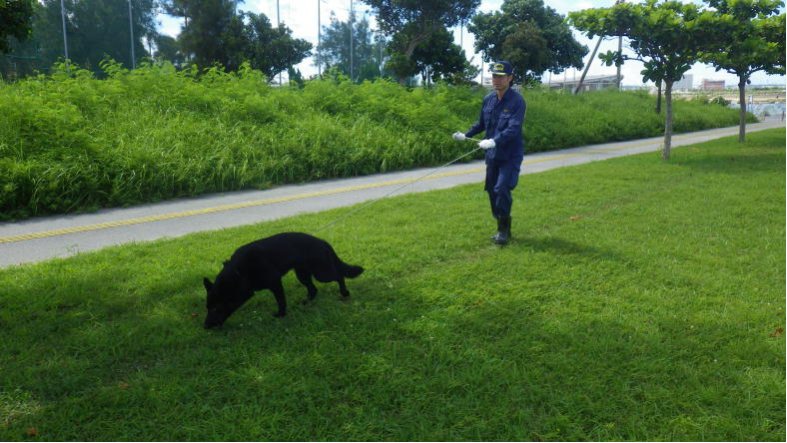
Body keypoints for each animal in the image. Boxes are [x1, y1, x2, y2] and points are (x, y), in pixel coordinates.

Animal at [202, 232, 364, 330]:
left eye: (216, 309)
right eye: (207, 308)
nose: (205, 326)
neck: (239, 272)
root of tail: (322, 241)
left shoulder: (275, 282)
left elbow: (280, 300)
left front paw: (281, 314)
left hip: (322, 274)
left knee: (339, 276)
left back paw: (344, 292)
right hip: (303, 275)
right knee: (313, 289)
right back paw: (306, 302)